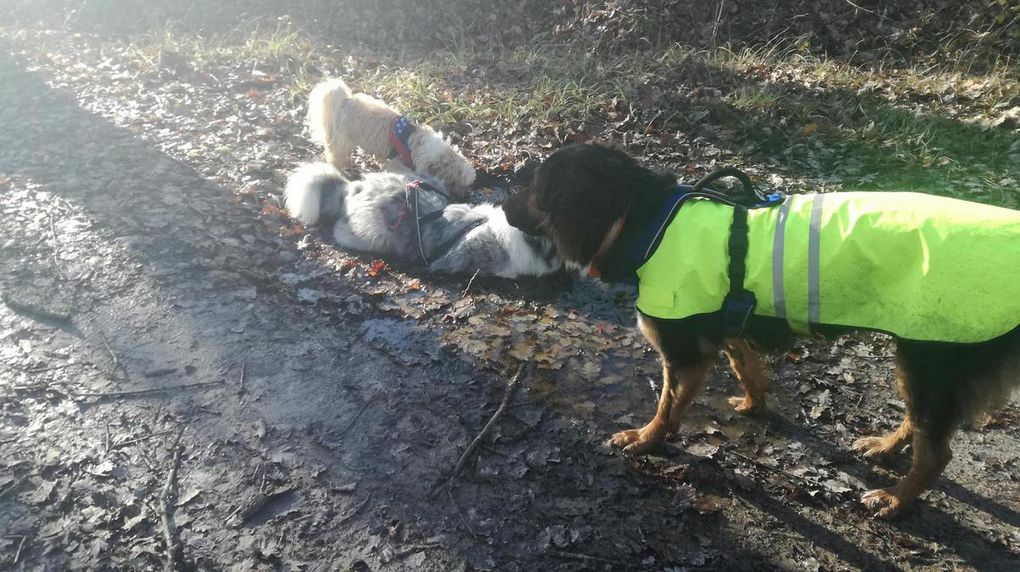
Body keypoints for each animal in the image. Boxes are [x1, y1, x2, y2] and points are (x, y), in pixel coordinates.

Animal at [306, 78, 477, 198]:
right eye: (454, 183)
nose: (464, 195)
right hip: (343, 142)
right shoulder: (398, 165)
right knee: (334, 156)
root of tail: (344, 100)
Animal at [503, 142, 1020, 517]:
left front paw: (646, 439)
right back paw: (884, 447)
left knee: (936, 454)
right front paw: (754, 406)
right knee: (919, 421)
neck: (644, 219)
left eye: (533, 187)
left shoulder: (683, 351)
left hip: (931, 355)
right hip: (920, 357)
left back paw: (895, 499)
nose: (503, 206)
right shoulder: (729, 331)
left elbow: (667, 404)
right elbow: (748, 369)